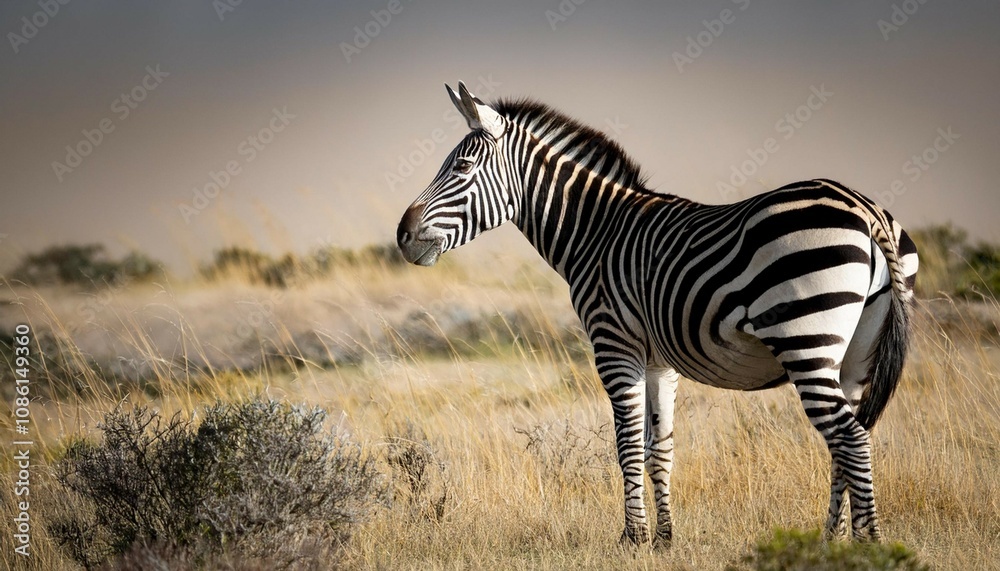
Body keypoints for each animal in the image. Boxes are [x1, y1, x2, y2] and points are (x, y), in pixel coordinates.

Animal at [396, 81, 919, 546]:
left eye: (461, 167)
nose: (402, 235)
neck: (596, 232)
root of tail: (864, 207)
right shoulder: (659, 361)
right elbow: (659, 450)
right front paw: (665, 538)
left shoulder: (614, 346)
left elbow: (628, 447)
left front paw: (633, 537)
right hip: (854, 356)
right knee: (845, 440)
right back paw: (831, 540)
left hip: (806, 342)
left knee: (851, 438)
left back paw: (868, 543)